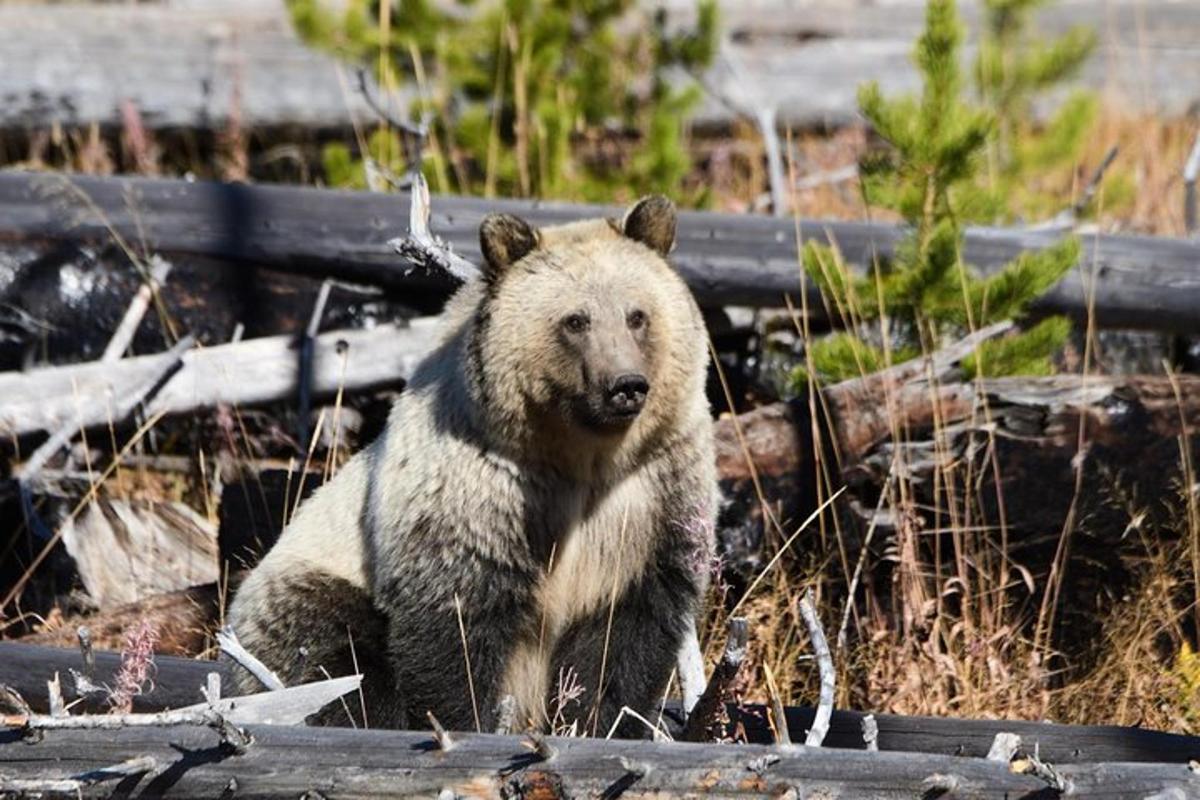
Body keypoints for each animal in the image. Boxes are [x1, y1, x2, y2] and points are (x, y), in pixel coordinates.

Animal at [228, 195, 715, 738]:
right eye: (575, 320)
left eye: (636, 315)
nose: (625, 385)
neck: (581, 458)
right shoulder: (480, 488)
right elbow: (455, 623)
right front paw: (466, 721)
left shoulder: (652, 495)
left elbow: (626, 635)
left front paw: (598, 720)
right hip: (309, 583)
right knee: (331, 657)